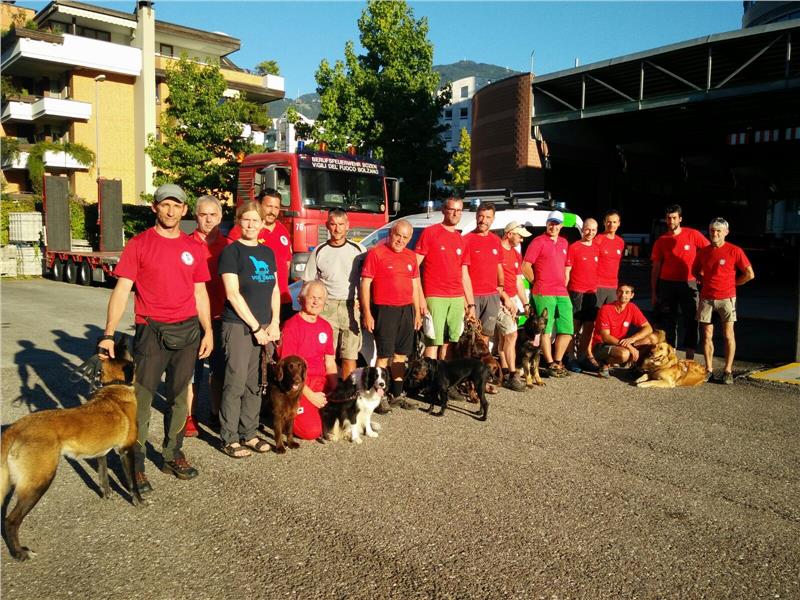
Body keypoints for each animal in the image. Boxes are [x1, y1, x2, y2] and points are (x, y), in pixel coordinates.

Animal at [1, 337, 139, 561]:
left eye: (116, 349)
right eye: (123, 349)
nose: (121, 337)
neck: (114, 388)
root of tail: (15, 427)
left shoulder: (101, 452)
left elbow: (103, 476)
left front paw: (107, 494)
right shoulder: (126, 450)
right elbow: (132, 483)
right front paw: (139, 502)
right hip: (39, 482)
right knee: (11, 521)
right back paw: (20, 553)